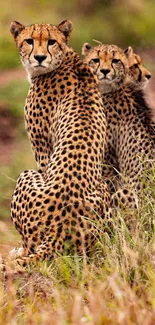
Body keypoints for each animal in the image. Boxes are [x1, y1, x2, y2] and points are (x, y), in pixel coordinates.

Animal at [9, 20, 110, 264]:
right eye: (29, 41)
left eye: (51, 42)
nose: (39, 57)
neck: (65, 58)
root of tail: (61, 227)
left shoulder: (41, 150)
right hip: (103, 188)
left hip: (25, 175)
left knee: (29, 246)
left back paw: (19, 251)